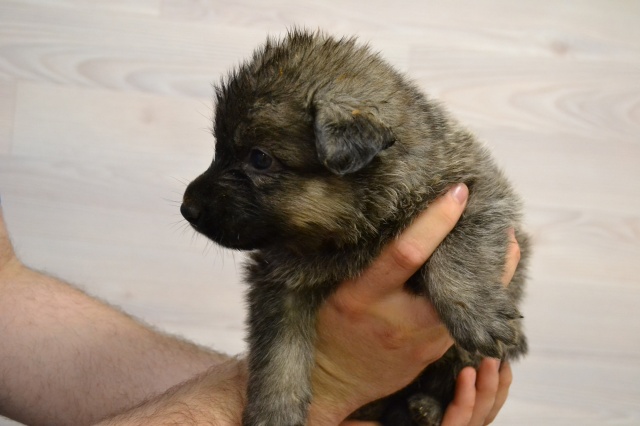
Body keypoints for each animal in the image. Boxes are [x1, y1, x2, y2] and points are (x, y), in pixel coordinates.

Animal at [181, 29, 529, 426]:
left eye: (259, 158)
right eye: (218, 149)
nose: (187, 207)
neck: (350, 232)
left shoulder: (476, 191)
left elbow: (459, 250)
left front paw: (473, 312)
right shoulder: (279, 281)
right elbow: (279, 352)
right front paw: (274, 409)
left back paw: (426, 408)